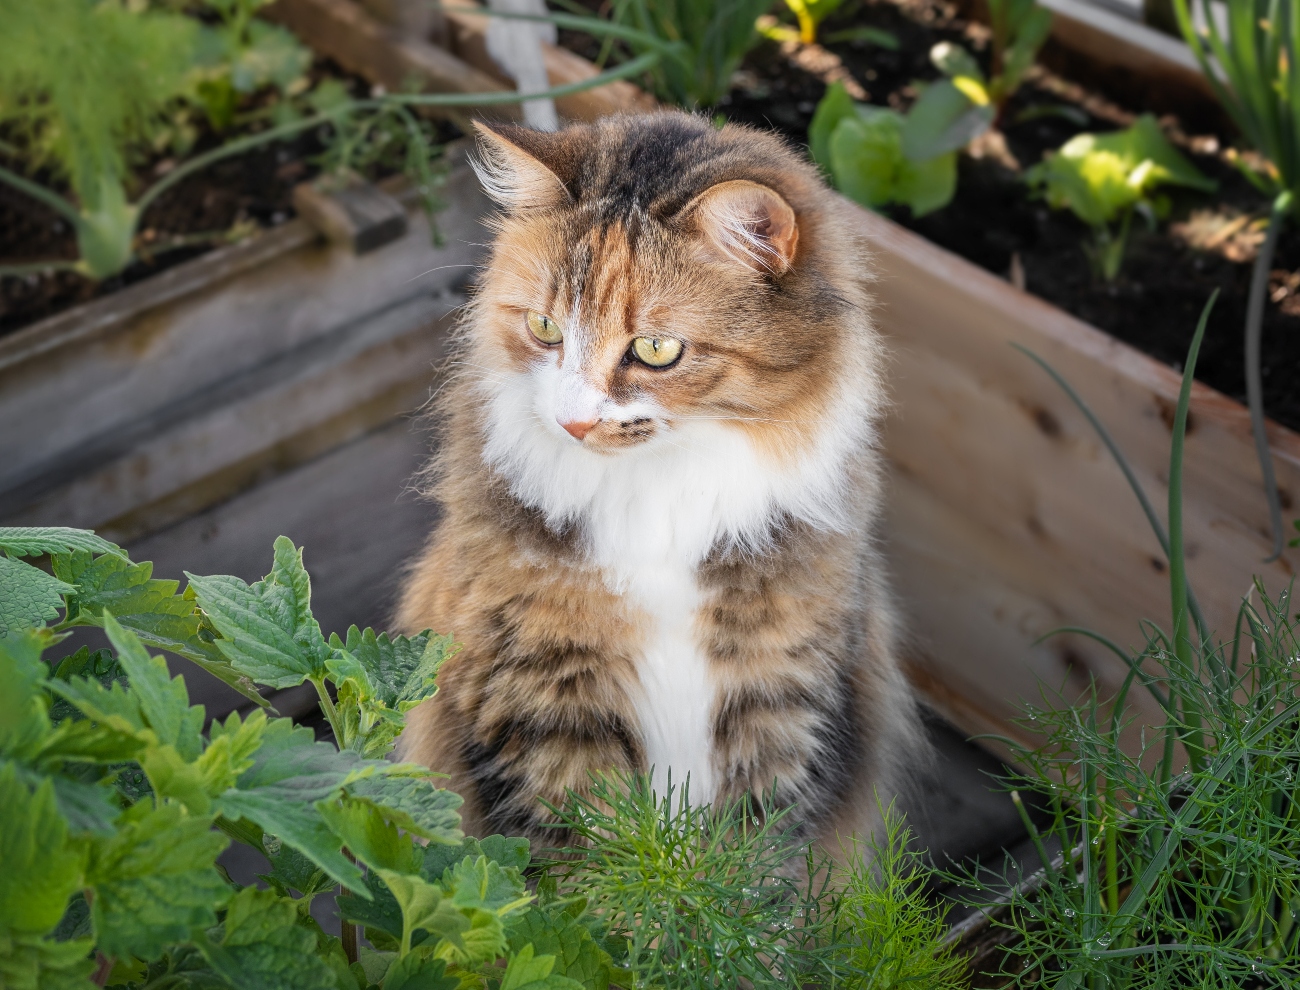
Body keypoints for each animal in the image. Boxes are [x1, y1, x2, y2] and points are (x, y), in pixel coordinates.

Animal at [397, 109, 925, 847]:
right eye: (545, 328)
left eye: (655, 349)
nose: (573, 422)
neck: (655, 504)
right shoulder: (540, 710)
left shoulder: (783, 703)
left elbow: (763, 864)